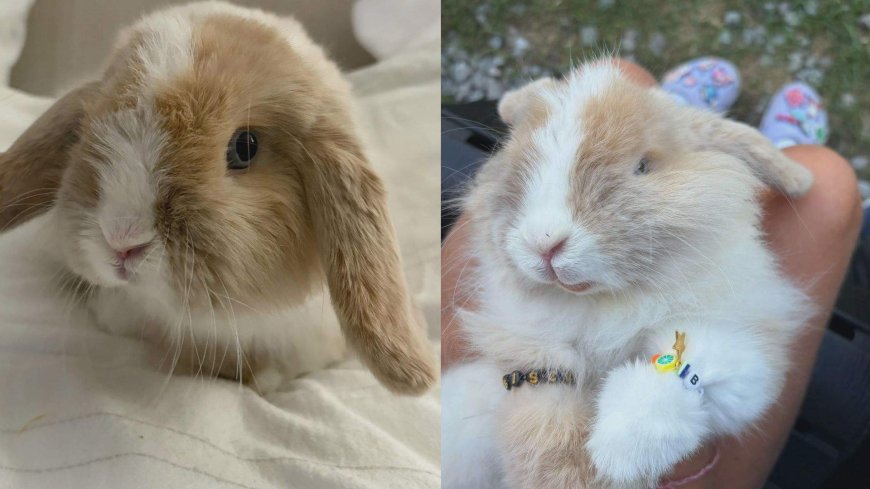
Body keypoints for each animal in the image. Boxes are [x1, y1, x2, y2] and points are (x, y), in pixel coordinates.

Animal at [441, 60, 814, 489]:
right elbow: (543, 424)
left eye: (643, 166)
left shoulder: (749, 347)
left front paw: (618, 452)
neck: (603, 305)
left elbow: (690, 365)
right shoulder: (533, 359)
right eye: (517, 163)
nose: (545, 242)